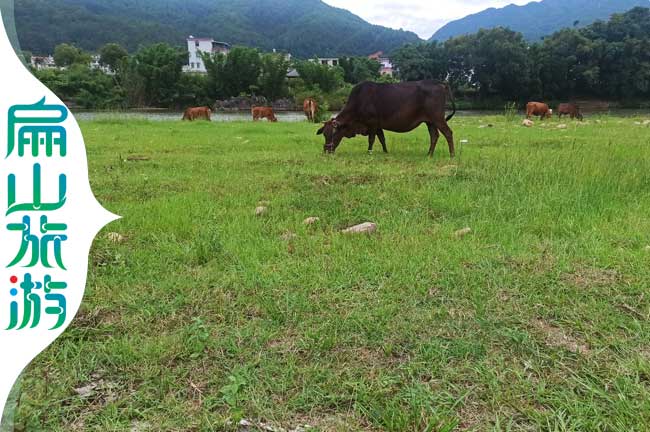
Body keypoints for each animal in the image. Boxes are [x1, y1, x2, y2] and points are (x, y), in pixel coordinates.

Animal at [316, 79, 454, 157]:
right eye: (324, 134)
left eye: (332, 134)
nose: (326, 150)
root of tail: (440, 84)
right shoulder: (378, 126)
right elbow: (382, 139)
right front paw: (386, 152)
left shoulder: (372, 123)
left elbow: (371, 140)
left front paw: (369, 152)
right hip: (429, 121)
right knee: (434, 136)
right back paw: (429, 154)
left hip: (438, 118)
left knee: (448, 133)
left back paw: (452, 155)